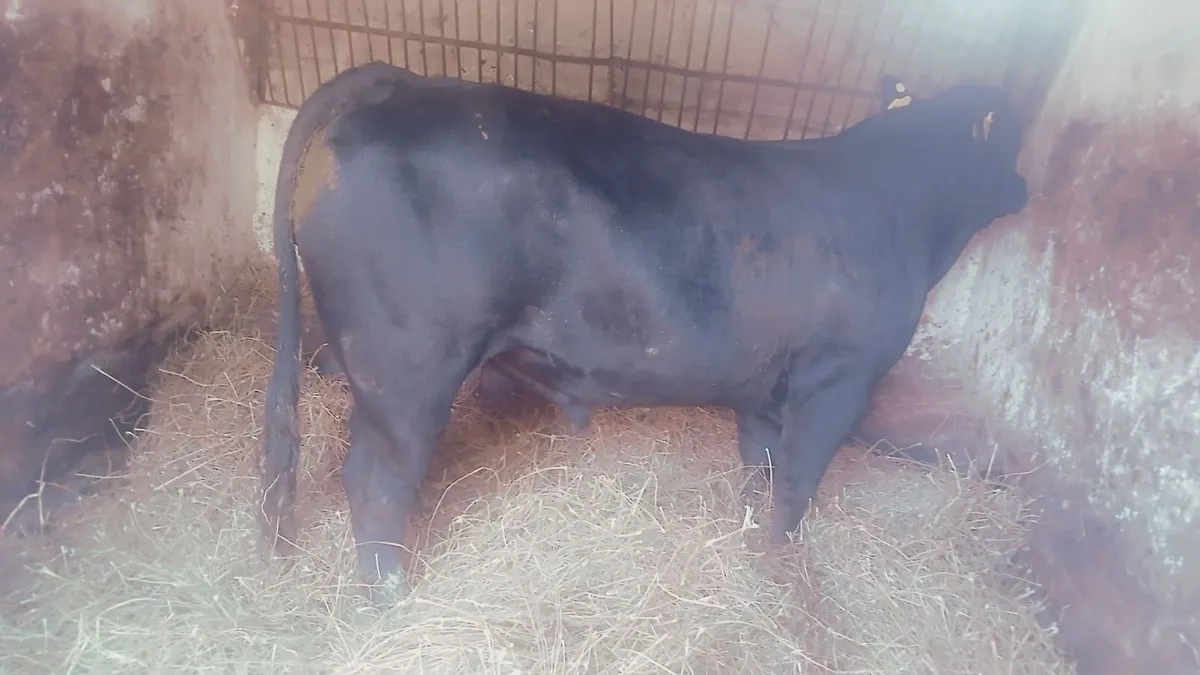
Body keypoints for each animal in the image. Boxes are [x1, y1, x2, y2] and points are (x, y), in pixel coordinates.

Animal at [258, 65, 1029, 605]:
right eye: (1013, 139)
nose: (1026, 187)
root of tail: (399, 79)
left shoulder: (766, 382)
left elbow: (760, 466)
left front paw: (747, 540)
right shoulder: (840, 377)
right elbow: (797, 482)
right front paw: (783, 566)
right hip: (405, 367)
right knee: (374, 480)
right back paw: (391, 594)